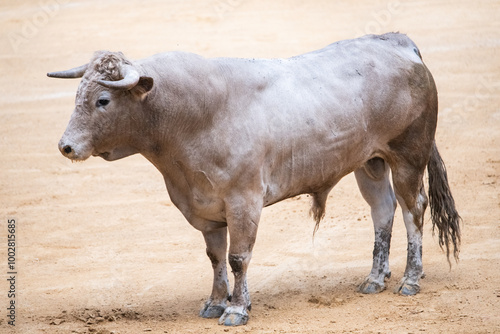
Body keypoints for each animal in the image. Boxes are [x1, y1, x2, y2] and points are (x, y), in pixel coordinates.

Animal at [47, 32, 460, 324]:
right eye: (78, 95)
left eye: (103, 101)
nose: (66, 146)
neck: (192, 115)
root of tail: (399, 42)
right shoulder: (205, 207)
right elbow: (215, 257)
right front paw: (215, 303)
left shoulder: (243, 202)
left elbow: (238, 257)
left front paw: (237, 310)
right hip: (369, 162)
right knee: (382, 210)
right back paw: (375, 278)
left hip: (408, 156)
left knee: (413, 209)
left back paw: (410, 279)